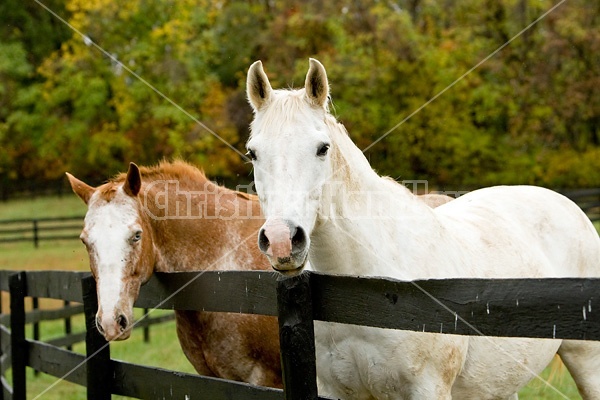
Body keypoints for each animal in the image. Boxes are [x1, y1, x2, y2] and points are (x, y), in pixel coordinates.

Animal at [246, 57, 600, 398]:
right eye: (253, 153)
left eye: (323, 148)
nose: (281, 240)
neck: (366, 292)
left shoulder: (430, 388)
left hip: (586, 362)